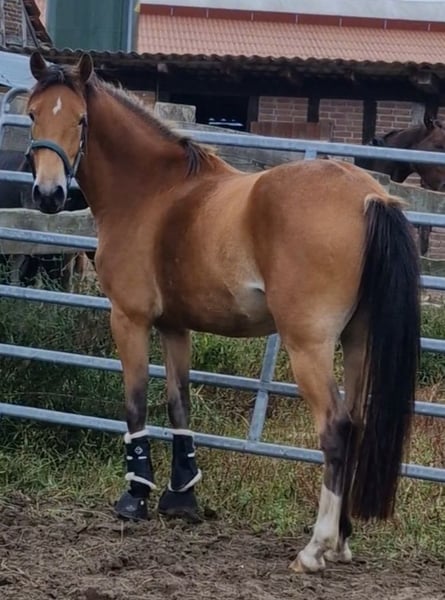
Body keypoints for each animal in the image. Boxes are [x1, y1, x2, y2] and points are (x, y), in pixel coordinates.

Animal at [25, 51, 420, 574]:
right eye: (32, 114)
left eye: (81, 120)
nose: (49, 195)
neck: (155, 191)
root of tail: (370, 197)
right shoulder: (176, 326)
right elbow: (179, 404)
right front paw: (181, 500)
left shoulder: (129, 319)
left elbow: (135, 403)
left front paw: (135, 499)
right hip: (358, 340)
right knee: (355, 423)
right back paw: (342, 540)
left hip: (308, 345)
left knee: (335, 427)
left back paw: (315, 548)